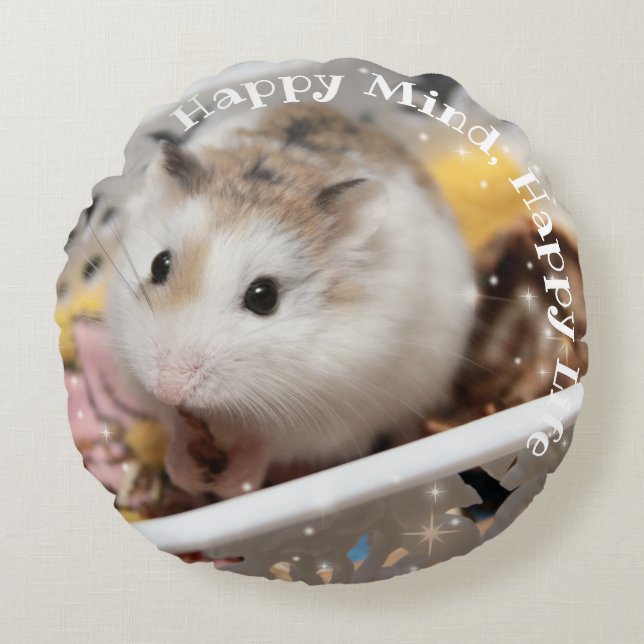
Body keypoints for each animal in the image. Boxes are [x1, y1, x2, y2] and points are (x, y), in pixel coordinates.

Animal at [105, 103, 476, 499]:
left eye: (264, 297)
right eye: (159, 265)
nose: (168, 387)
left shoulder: (322, 417)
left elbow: (266, 445)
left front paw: (232, 485)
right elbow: (175, 425)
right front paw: (187, 474)